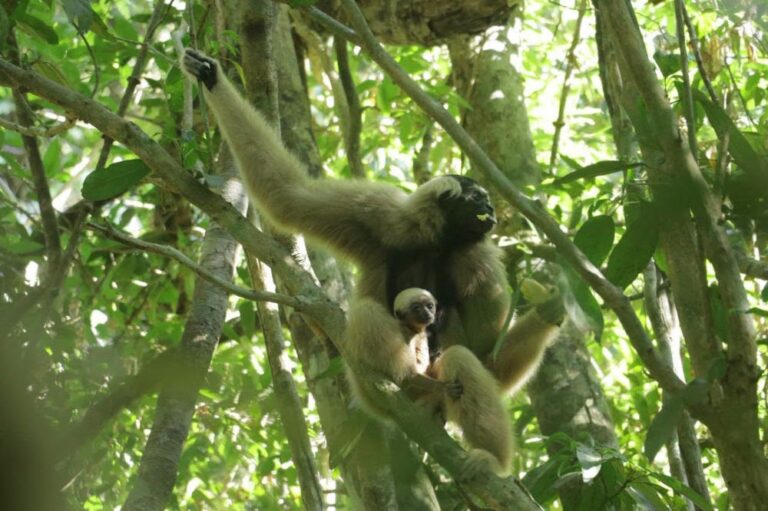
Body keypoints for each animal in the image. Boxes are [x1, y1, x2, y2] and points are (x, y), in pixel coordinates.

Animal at [181, 49, 564, 477]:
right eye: (478, 198)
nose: (492, 210)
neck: (435, 241)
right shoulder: (381, 215)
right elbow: (289, 196)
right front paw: (210, 78)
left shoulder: (479, 261)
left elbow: (488, 360)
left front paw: (549, 309)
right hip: (369, 388)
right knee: (366, 315)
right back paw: (399, 379)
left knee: (460, 359)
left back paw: (489, 459)